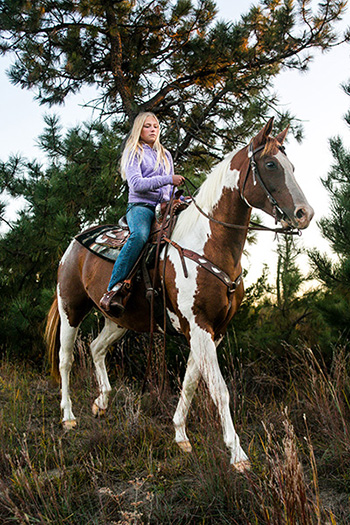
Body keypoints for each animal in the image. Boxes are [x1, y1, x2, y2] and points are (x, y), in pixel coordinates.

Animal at [44, 118, 314, 470]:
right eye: (270, 164)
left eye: (291, 166)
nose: (304, 214)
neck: (208, 244)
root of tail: (75, 243)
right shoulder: (199, 327)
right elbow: (219, 389)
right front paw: (238, 455)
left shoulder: (211, 331)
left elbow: (191, 381)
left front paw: (180, 434)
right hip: (71, 309)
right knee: (65, 359)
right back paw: (68, 416)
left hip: (117, 318)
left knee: (96, 348)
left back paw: (101, 402)